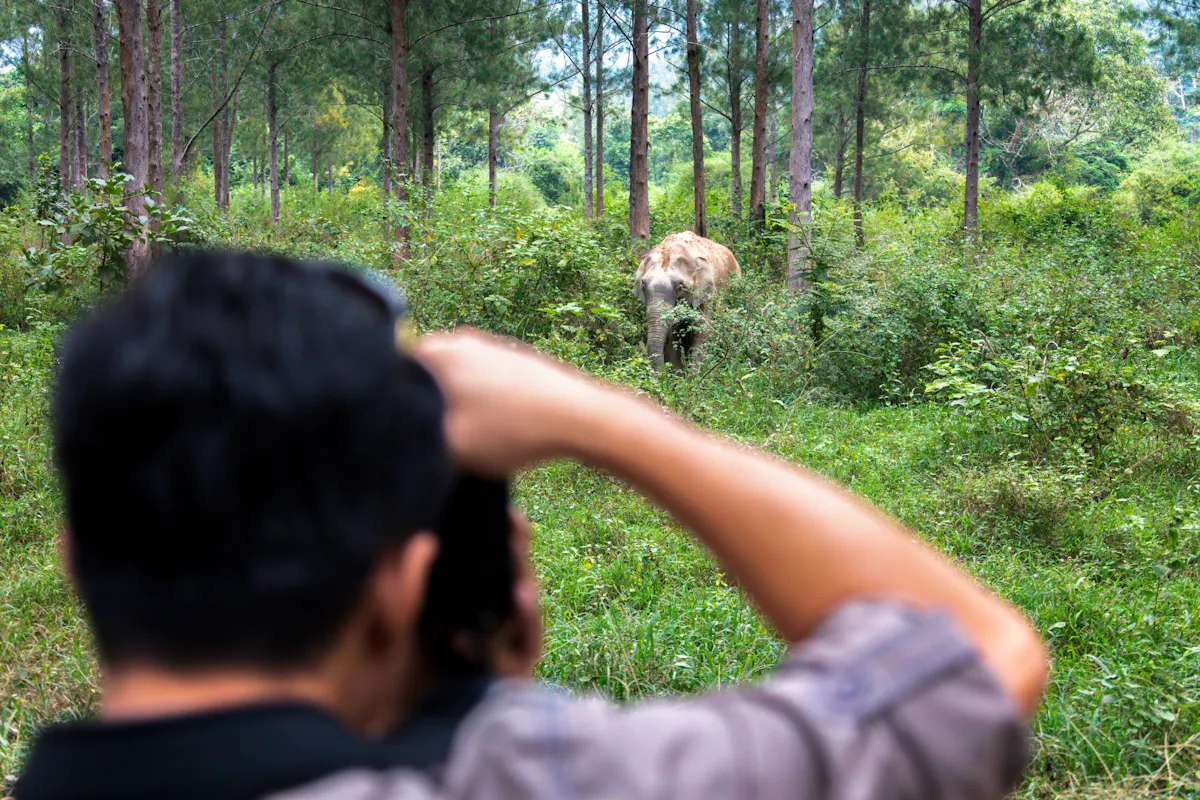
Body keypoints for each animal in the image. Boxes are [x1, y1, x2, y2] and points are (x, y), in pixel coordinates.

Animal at [634, 231, 741, 370]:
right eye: (643, 286)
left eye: (680, 287)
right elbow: (673, 338)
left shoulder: (705, 296)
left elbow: (704, 332)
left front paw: (695, 374)